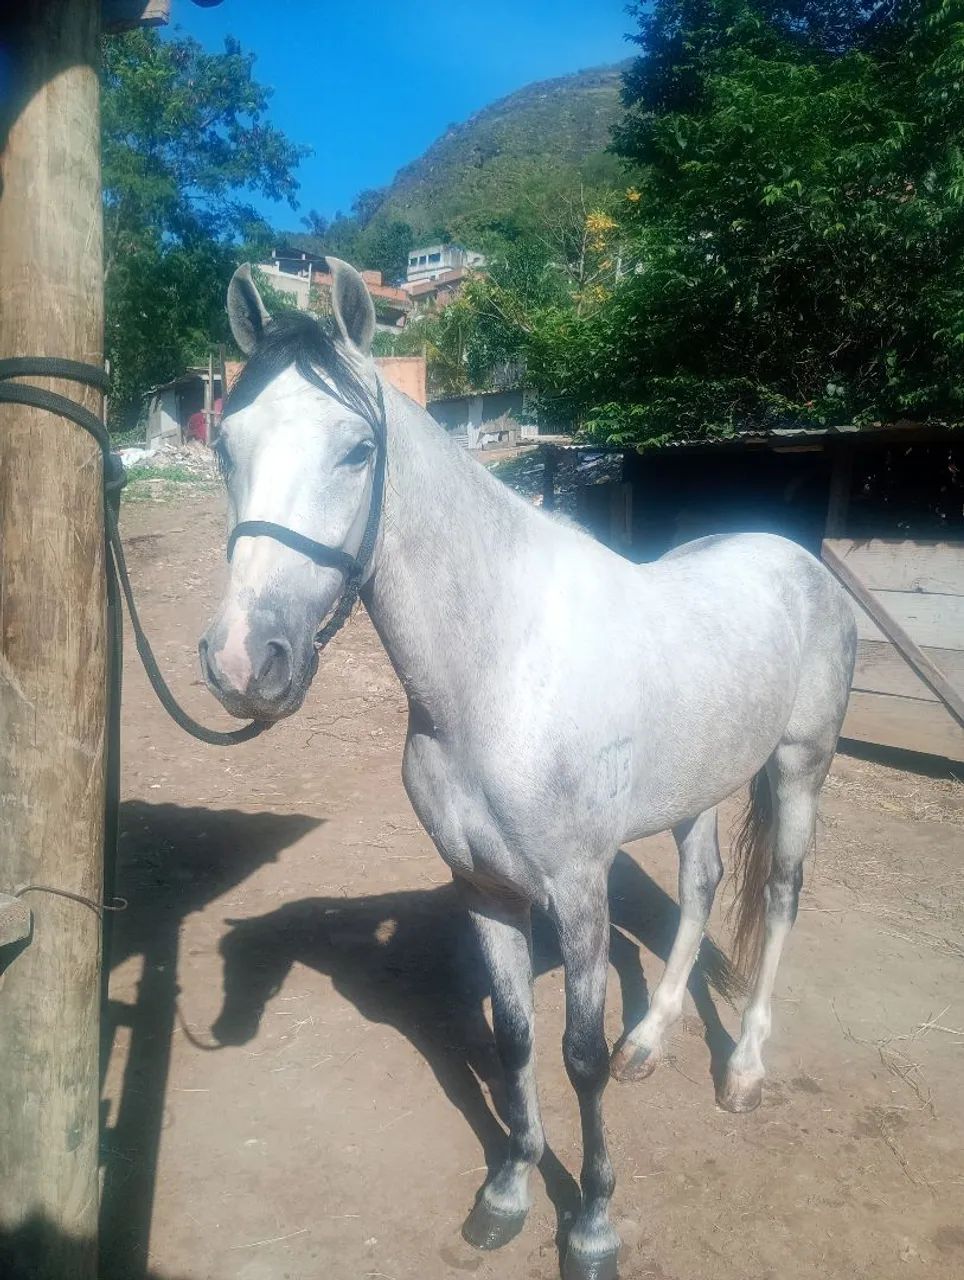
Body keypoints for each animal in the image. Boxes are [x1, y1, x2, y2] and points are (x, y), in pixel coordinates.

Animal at [198, 259, 857, 1280]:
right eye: (227, 446)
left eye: (357, 450)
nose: (243, 663)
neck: (499, 669)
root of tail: (798, 562)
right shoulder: (486, 889)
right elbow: (512, 1040)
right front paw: (508, 1192)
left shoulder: (577, 892)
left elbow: (575, 1055)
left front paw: (590, 1225)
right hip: (701, 787)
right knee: (704, 885)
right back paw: (651, 1042)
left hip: (799, 768)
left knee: (780, 898)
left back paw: (743, 1069)